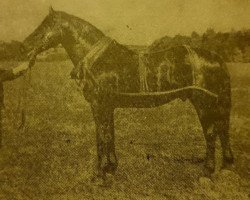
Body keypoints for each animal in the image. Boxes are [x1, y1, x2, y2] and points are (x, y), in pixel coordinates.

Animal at [21, 7, 232, 181]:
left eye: (45, 25)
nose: (24, 45)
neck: (99, 60)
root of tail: (215, 57)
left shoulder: (100, 105)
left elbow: (103, 136)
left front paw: (101, 174)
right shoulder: (107, 106)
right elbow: (108, 134)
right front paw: (110, 169)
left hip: (204, 103)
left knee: (211, 133)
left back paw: (207, 171)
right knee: (222, 130)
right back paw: (226, 167)